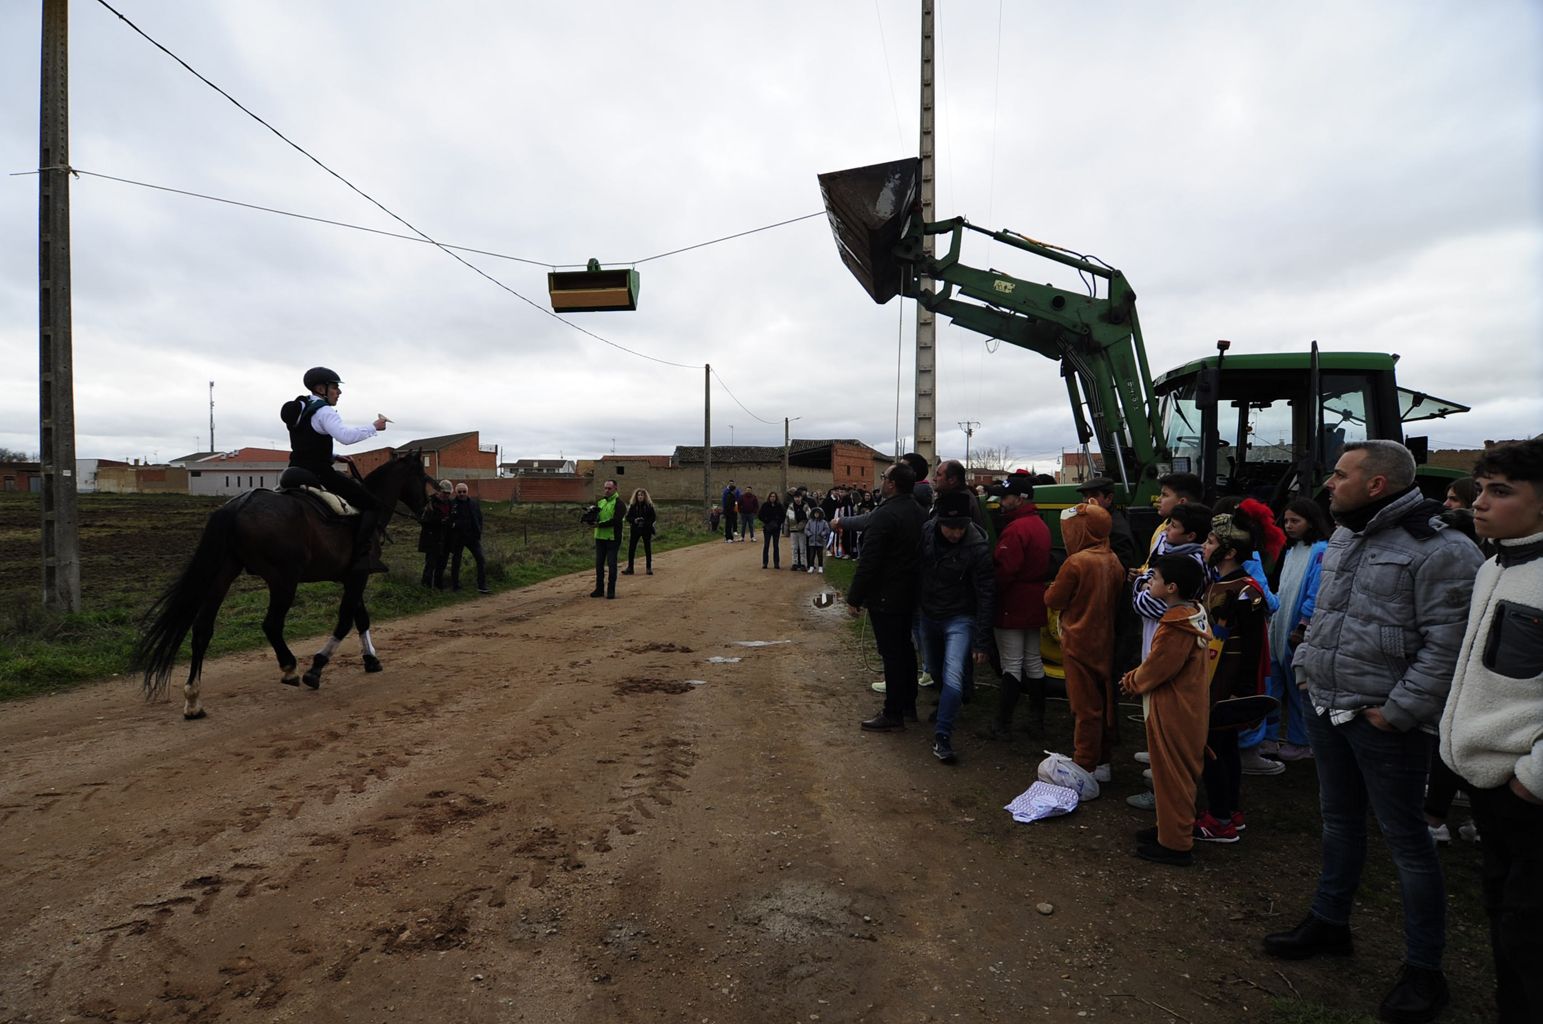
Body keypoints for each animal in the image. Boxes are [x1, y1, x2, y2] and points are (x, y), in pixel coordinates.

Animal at [135, 447, 435, 718]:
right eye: (422, 477)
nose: (427, 511)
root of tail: (238, 505)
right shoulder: (357, 577)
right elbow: (345, 621)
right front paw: (316, 668)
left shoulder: (350, 577)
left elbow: (360, 618)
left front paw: (371, 659)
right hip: (283, 581)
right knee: (271, 625)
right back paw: (290, 668)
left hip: (223, 575)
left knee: (202, 630)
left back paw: (193, 700)